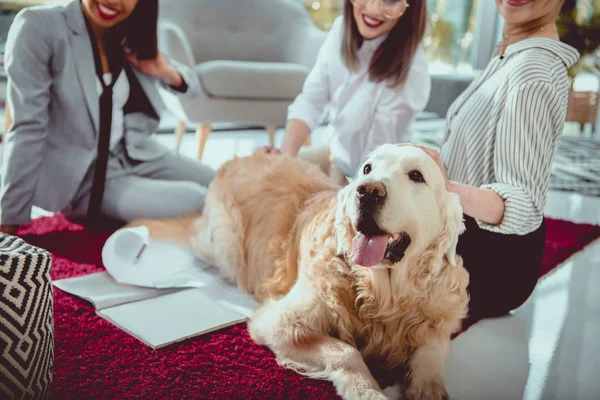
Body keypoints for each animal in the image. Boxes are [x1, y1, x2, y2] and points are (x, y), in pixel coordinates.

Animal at [134, 145, 472, 400]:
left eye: (416, 175)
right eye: (367, 169)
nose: (367, 191)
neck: (383, 294)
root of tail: (242, 157)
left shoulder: (438, 317)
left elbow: (429, 358)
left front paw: (429, 389)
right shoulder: (279, 321)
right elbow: (345, 351)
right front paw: (367, 391)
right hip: (224, 248)